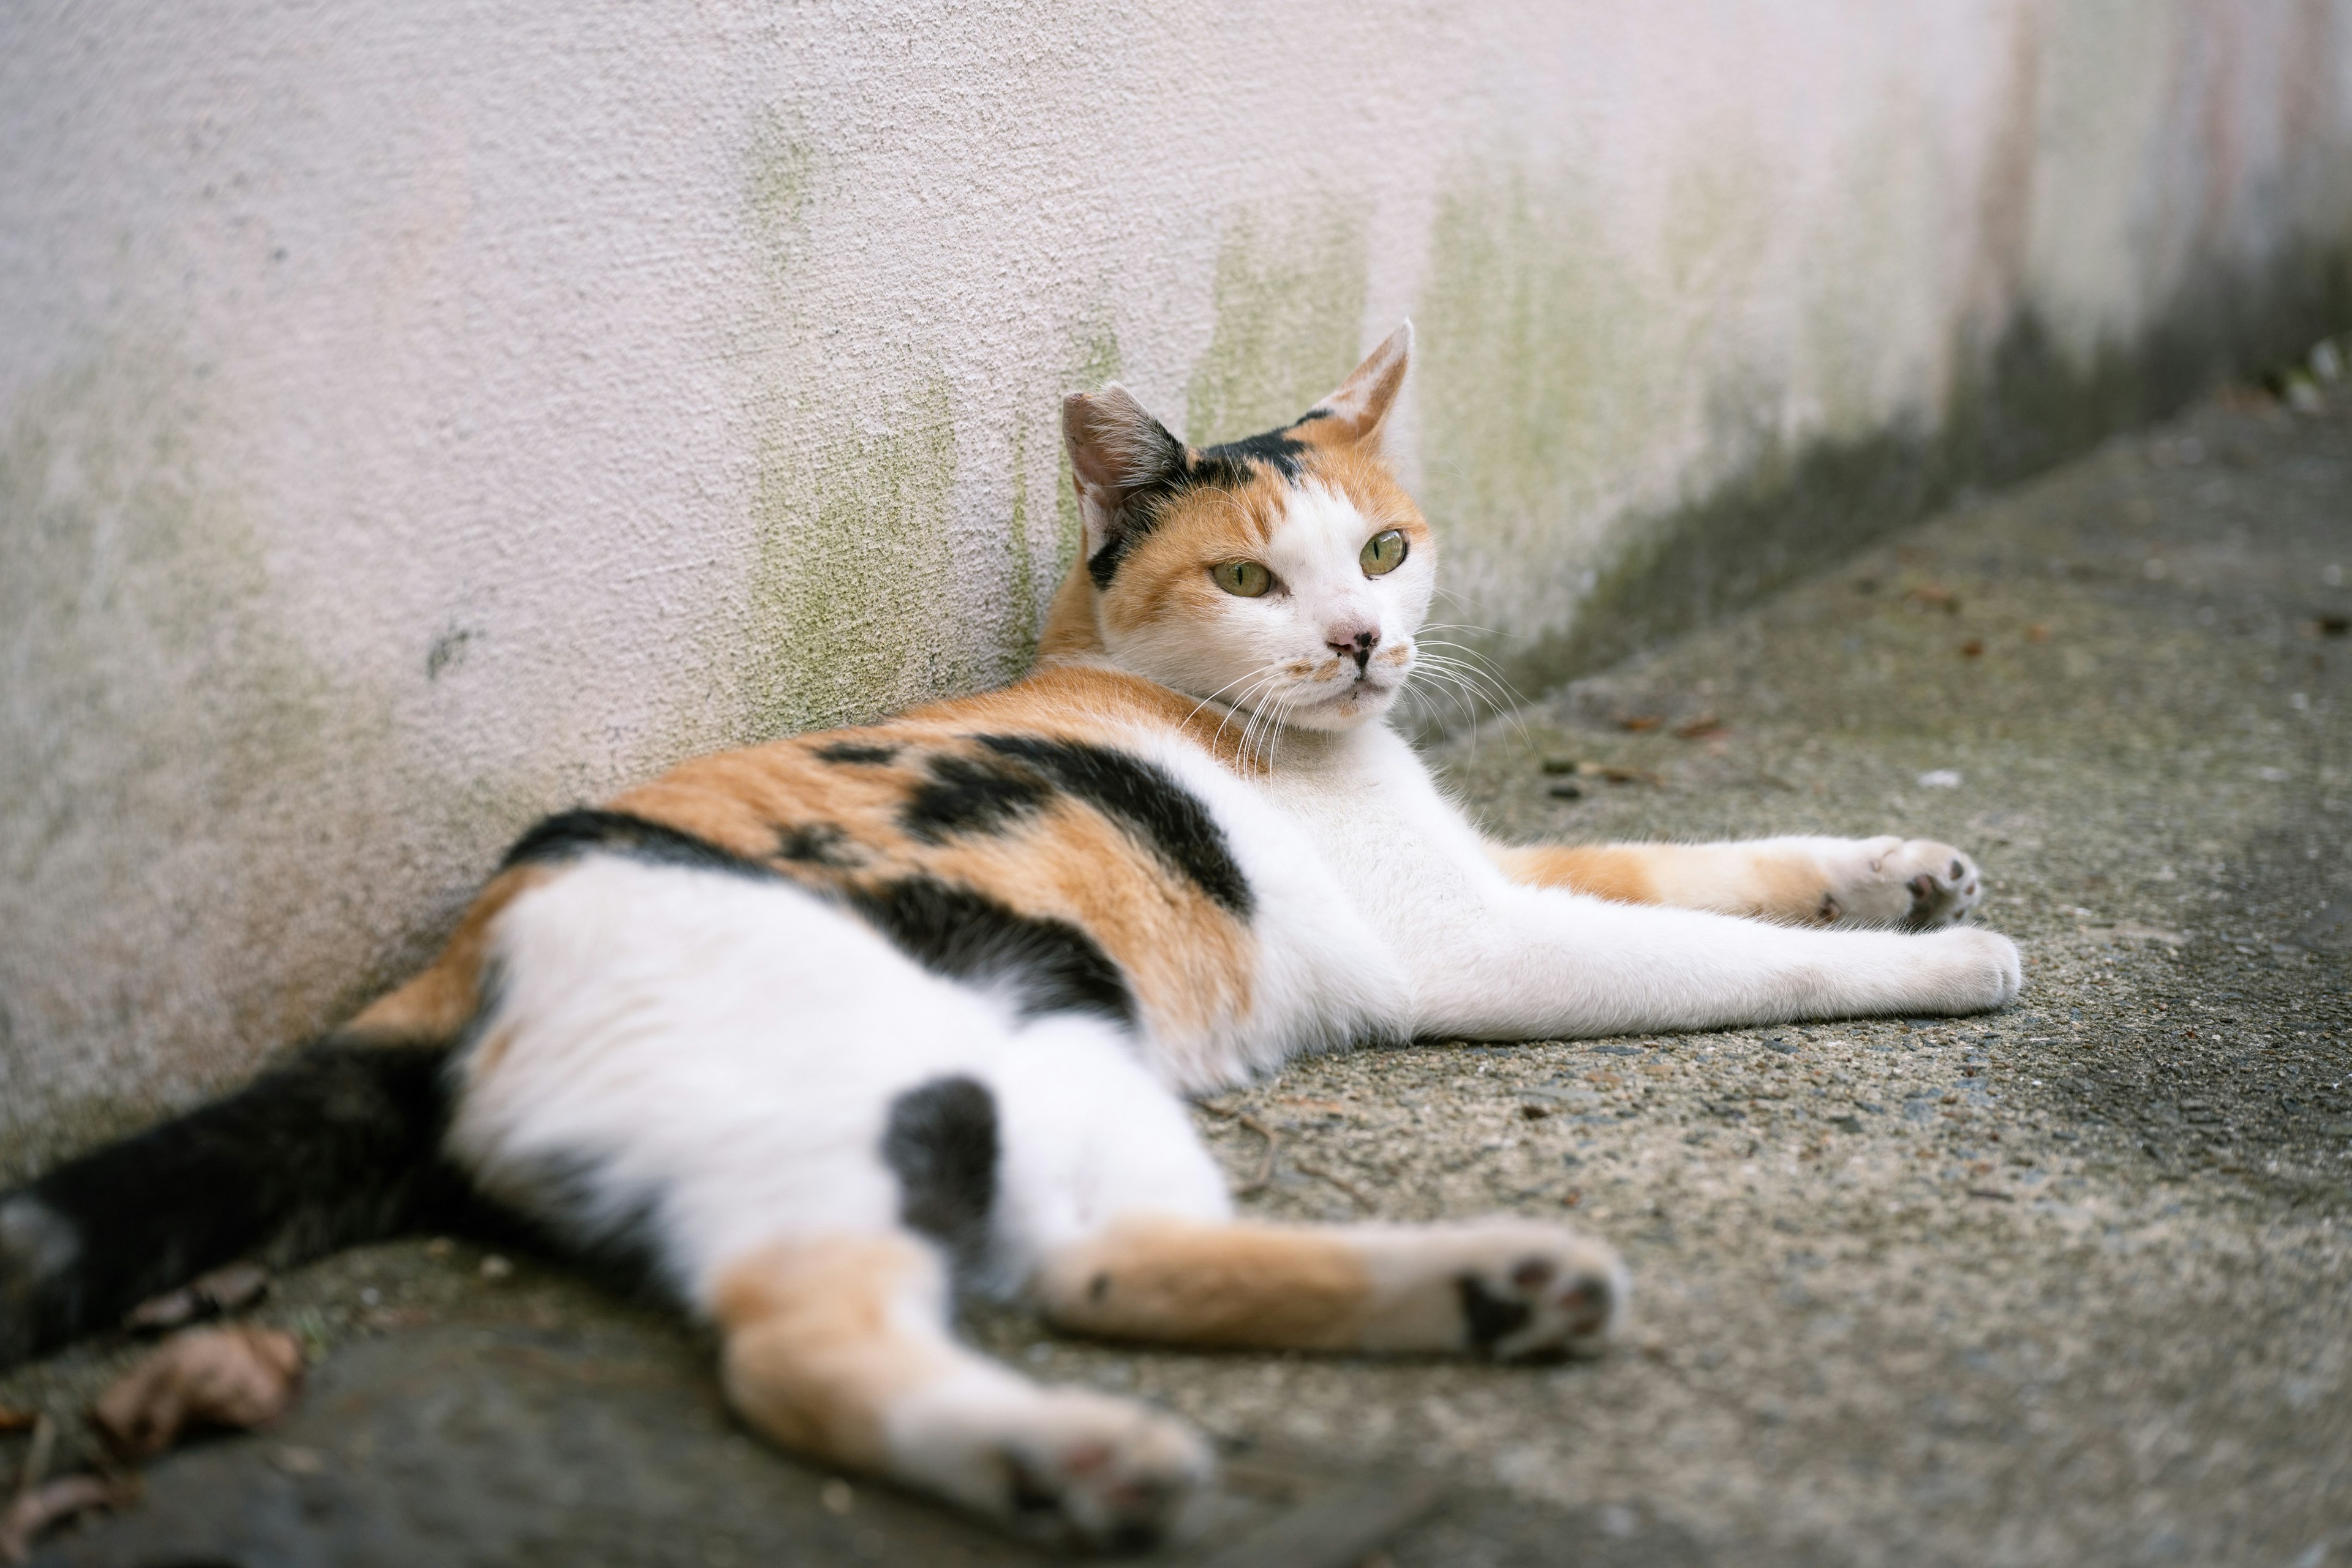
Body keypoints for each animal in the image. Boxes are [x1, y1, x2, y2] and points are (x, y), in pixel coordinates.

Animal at [0, 324, 2022, 1551]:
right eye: (1249, 575)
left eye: (1379, 553)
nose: (1363, 645)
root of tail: (454, 959)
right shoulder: (1470, 951)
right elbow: (1736, 958)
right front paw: (1939, 966)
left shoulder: (1493, 869)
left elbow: (1694, 857)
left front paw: (1904, 865)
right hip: (889, 1064)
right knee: (817, 1346)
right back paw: (1089, 1460)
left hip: (1054, 1040)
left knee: (1097, 1263)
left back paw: (1491, 1291)